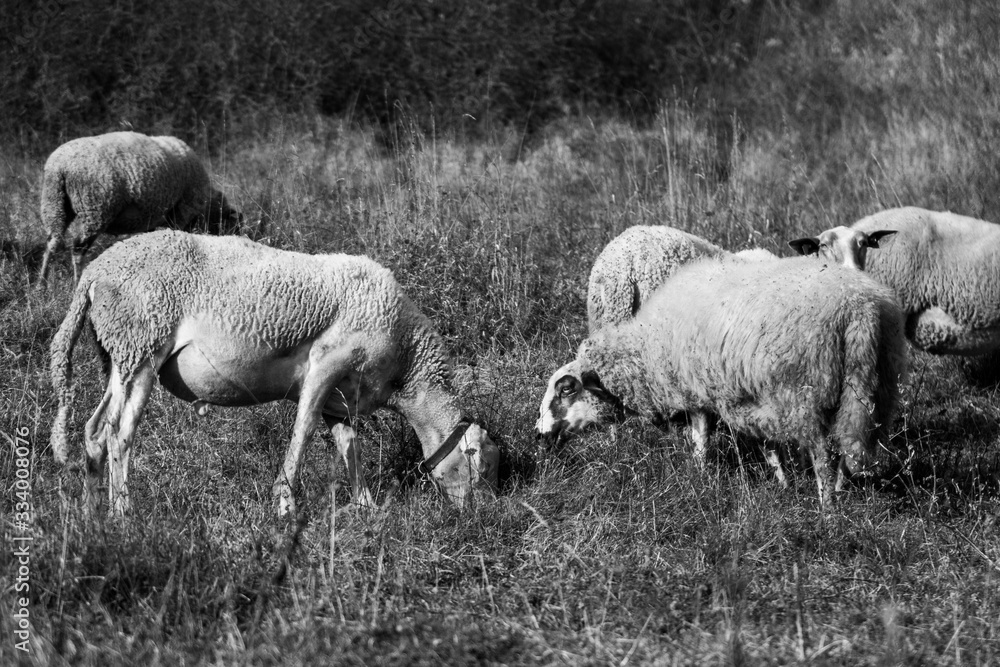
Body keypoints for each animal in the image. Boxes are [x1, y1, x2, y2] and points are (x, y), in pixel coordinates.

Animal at [37, 131, 242, 284]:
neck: (207, 206)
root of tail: (60, 166)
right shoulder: (181, 212)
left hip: (54, 204)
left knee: (51, 243)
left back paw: (42, 284)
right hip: (94, 210)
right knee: (78, 249)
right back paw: (76, 282)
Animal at [49, 229, 498, 517]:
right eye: (479, 464)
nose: (479, 517)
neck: (405, 370)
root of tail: (95, 272)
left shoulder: (342, 398)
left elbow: (348, 445)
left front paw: (365, 505)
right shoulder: (327, 362)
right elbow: (303, 429)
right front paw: (285, 505)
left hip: (119, 355)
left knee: (93, 433)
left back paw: (92, 517)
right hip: (142, 344)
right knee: (118, 434)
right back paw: (123, 514)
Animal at [536, 255, 908, 506]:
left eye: (566, 389)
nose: (539, 434)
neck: (647, 348)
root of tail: (859, 307)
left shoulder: (700, 393)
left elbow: (701, 439)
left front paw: (698, 478)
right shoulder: (748, 395)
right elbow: (768, 446)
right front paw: (782, 483)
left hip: (804, 391)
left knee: (822, 454)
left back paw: (827, 506)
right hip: (874, 387)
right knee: (852, 445)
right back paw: (841, 490)